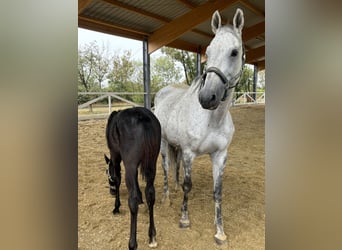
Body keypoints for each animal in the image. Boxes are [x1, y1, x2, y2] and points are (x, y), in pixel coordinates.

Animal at [104, 106, 162, 249]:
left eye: (107, 173)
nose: (111, 192)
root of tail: (142, 117)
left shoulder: (115, 156)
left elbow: (117, 178)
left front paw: (116, 207)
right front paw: (141, 199)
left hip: (129, 163)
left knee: (133, 199)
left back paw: (132, 243)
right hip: (152, 164)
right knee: (150, 194)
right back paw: (152, 236)